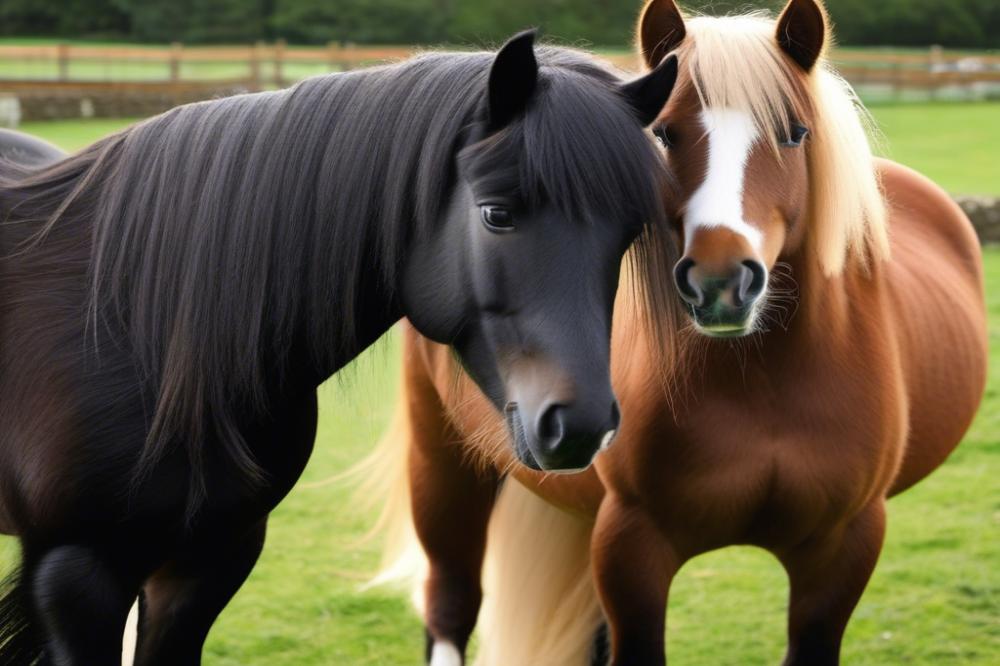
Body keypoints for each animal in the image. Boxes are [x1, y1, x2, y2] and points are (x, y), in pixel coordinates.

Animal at [0, 33, 680, 660]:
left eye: (627, 234)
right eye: (496, 214)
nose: (581, 425)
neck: (142, 332)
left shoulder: (207, 562)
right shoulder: (75, 575)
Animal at [370, 1, 992, 664]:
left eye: (794, 132)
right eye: (664, 133)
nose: (720, 281)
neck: (764, 386)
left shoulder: (843, 548)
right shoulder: (632, 544)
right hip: (443, 468)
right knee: (450, 603)